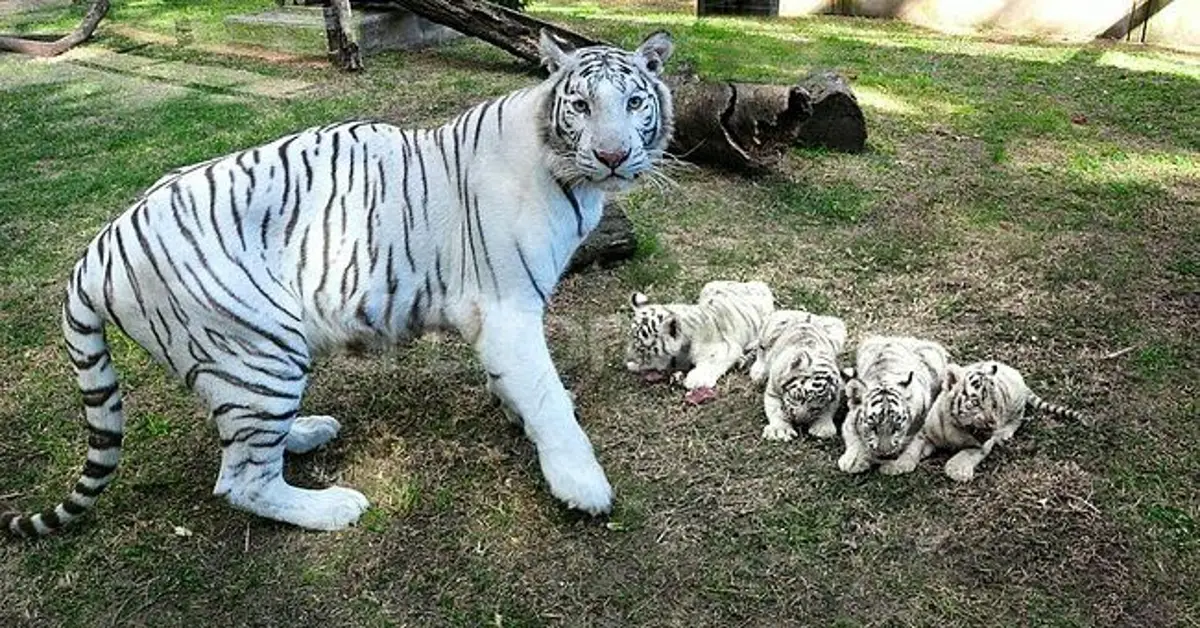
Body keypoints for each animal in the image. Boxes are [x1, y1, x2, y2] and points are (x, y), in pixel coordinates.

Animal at [0, 31, 681, 537]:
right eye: (582, 106)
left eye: (635, 102)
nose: (614, 156)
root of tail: (100, 244)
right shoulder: (508, 307)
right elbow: (546, 394)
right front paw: (581, 484)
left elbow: (519, 384)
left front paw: (516, 413)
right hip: (262, 347)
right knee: (241, 480)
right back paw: (333, 506)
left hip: (230, 360)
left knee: (232, 433)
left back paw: (304, 432)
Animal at [624, 280, 772, 393]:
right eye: (631, 338)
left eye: (642, 348)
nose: (627, 358)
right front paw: (633, 365)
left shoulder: (726, 347)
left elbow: (711, 361)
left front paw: (695, 379)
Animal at [748, 309, 844, 441]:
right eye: (798, 397)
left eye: (816, 408)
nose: (799, 421)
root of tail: (803, 313)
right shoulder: (773, 390)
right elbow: (776, 411)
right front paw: (780, 430)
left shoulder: (836, 394)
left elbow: (829, 409)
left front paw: (823, 428)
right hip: (773, 327)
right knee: (761, 349)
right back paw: (758, 373)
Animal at [840, 336, 950, 475]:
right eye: (873, 427)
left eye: (896, 427)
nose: (884, 455)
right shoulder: (850, 418)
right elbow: (853, 437)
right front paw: (853, 461)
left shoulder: (924, 422)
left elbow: (915, 443)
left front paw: (898, 464)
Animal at [878, 357, 1084, 482]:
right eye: (975, 403)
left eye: (995, 404)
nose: (992, 423)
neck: (956, 426)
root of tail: (1020, 378)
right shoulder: (924, 434)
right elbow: (911, 450)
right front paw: (895, 466)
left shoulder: (982, 443)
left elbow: (967, 453)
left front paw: (957, 471)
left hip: (1017, 408)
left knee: (1016, 420)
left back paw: (1005, 433)